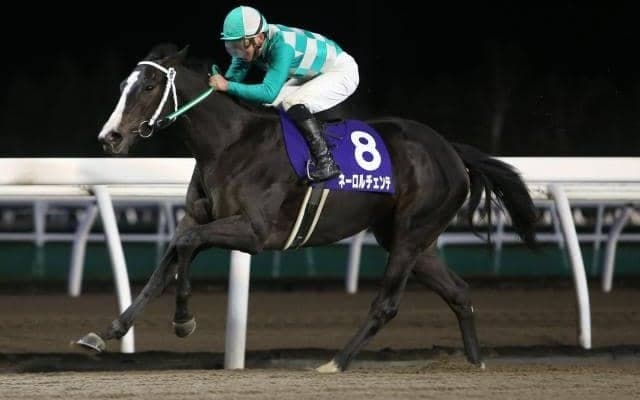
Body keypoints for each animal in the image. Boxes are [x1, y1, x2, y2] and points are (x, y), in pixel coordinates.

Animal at [78, 43, 538, 372]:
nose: (109, 137)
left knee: (387, 304)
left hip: (411, 234)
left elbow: (188, 245)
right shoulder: (200, 219)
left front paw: (183, 321)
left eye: (148, 87)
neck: (228, 145)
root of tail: (452, 151)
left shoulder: (255, 232)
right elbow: (165, 266)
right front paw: (107, 331)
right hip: (408, 239)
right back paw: (476, 364)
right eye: (122, 87)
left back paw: (336, 363)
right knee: (459, 292)